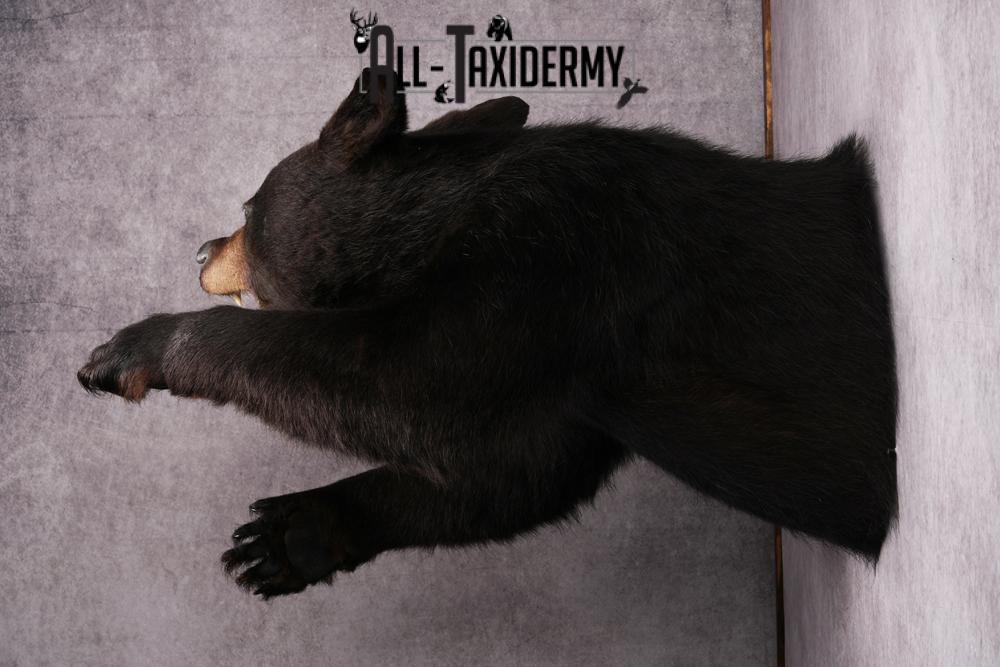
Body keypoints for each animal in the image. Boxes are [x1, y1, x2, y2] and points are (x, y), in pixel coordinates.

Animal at [78, 70, 897, 599]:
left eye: (249, 211)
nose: (200, 251)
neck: (436, 225)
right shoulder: (570, 388)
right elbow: (519, 474)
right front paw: (291, 534)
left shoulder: (554, 265)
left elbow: (406, 381)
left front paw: (132, 349)